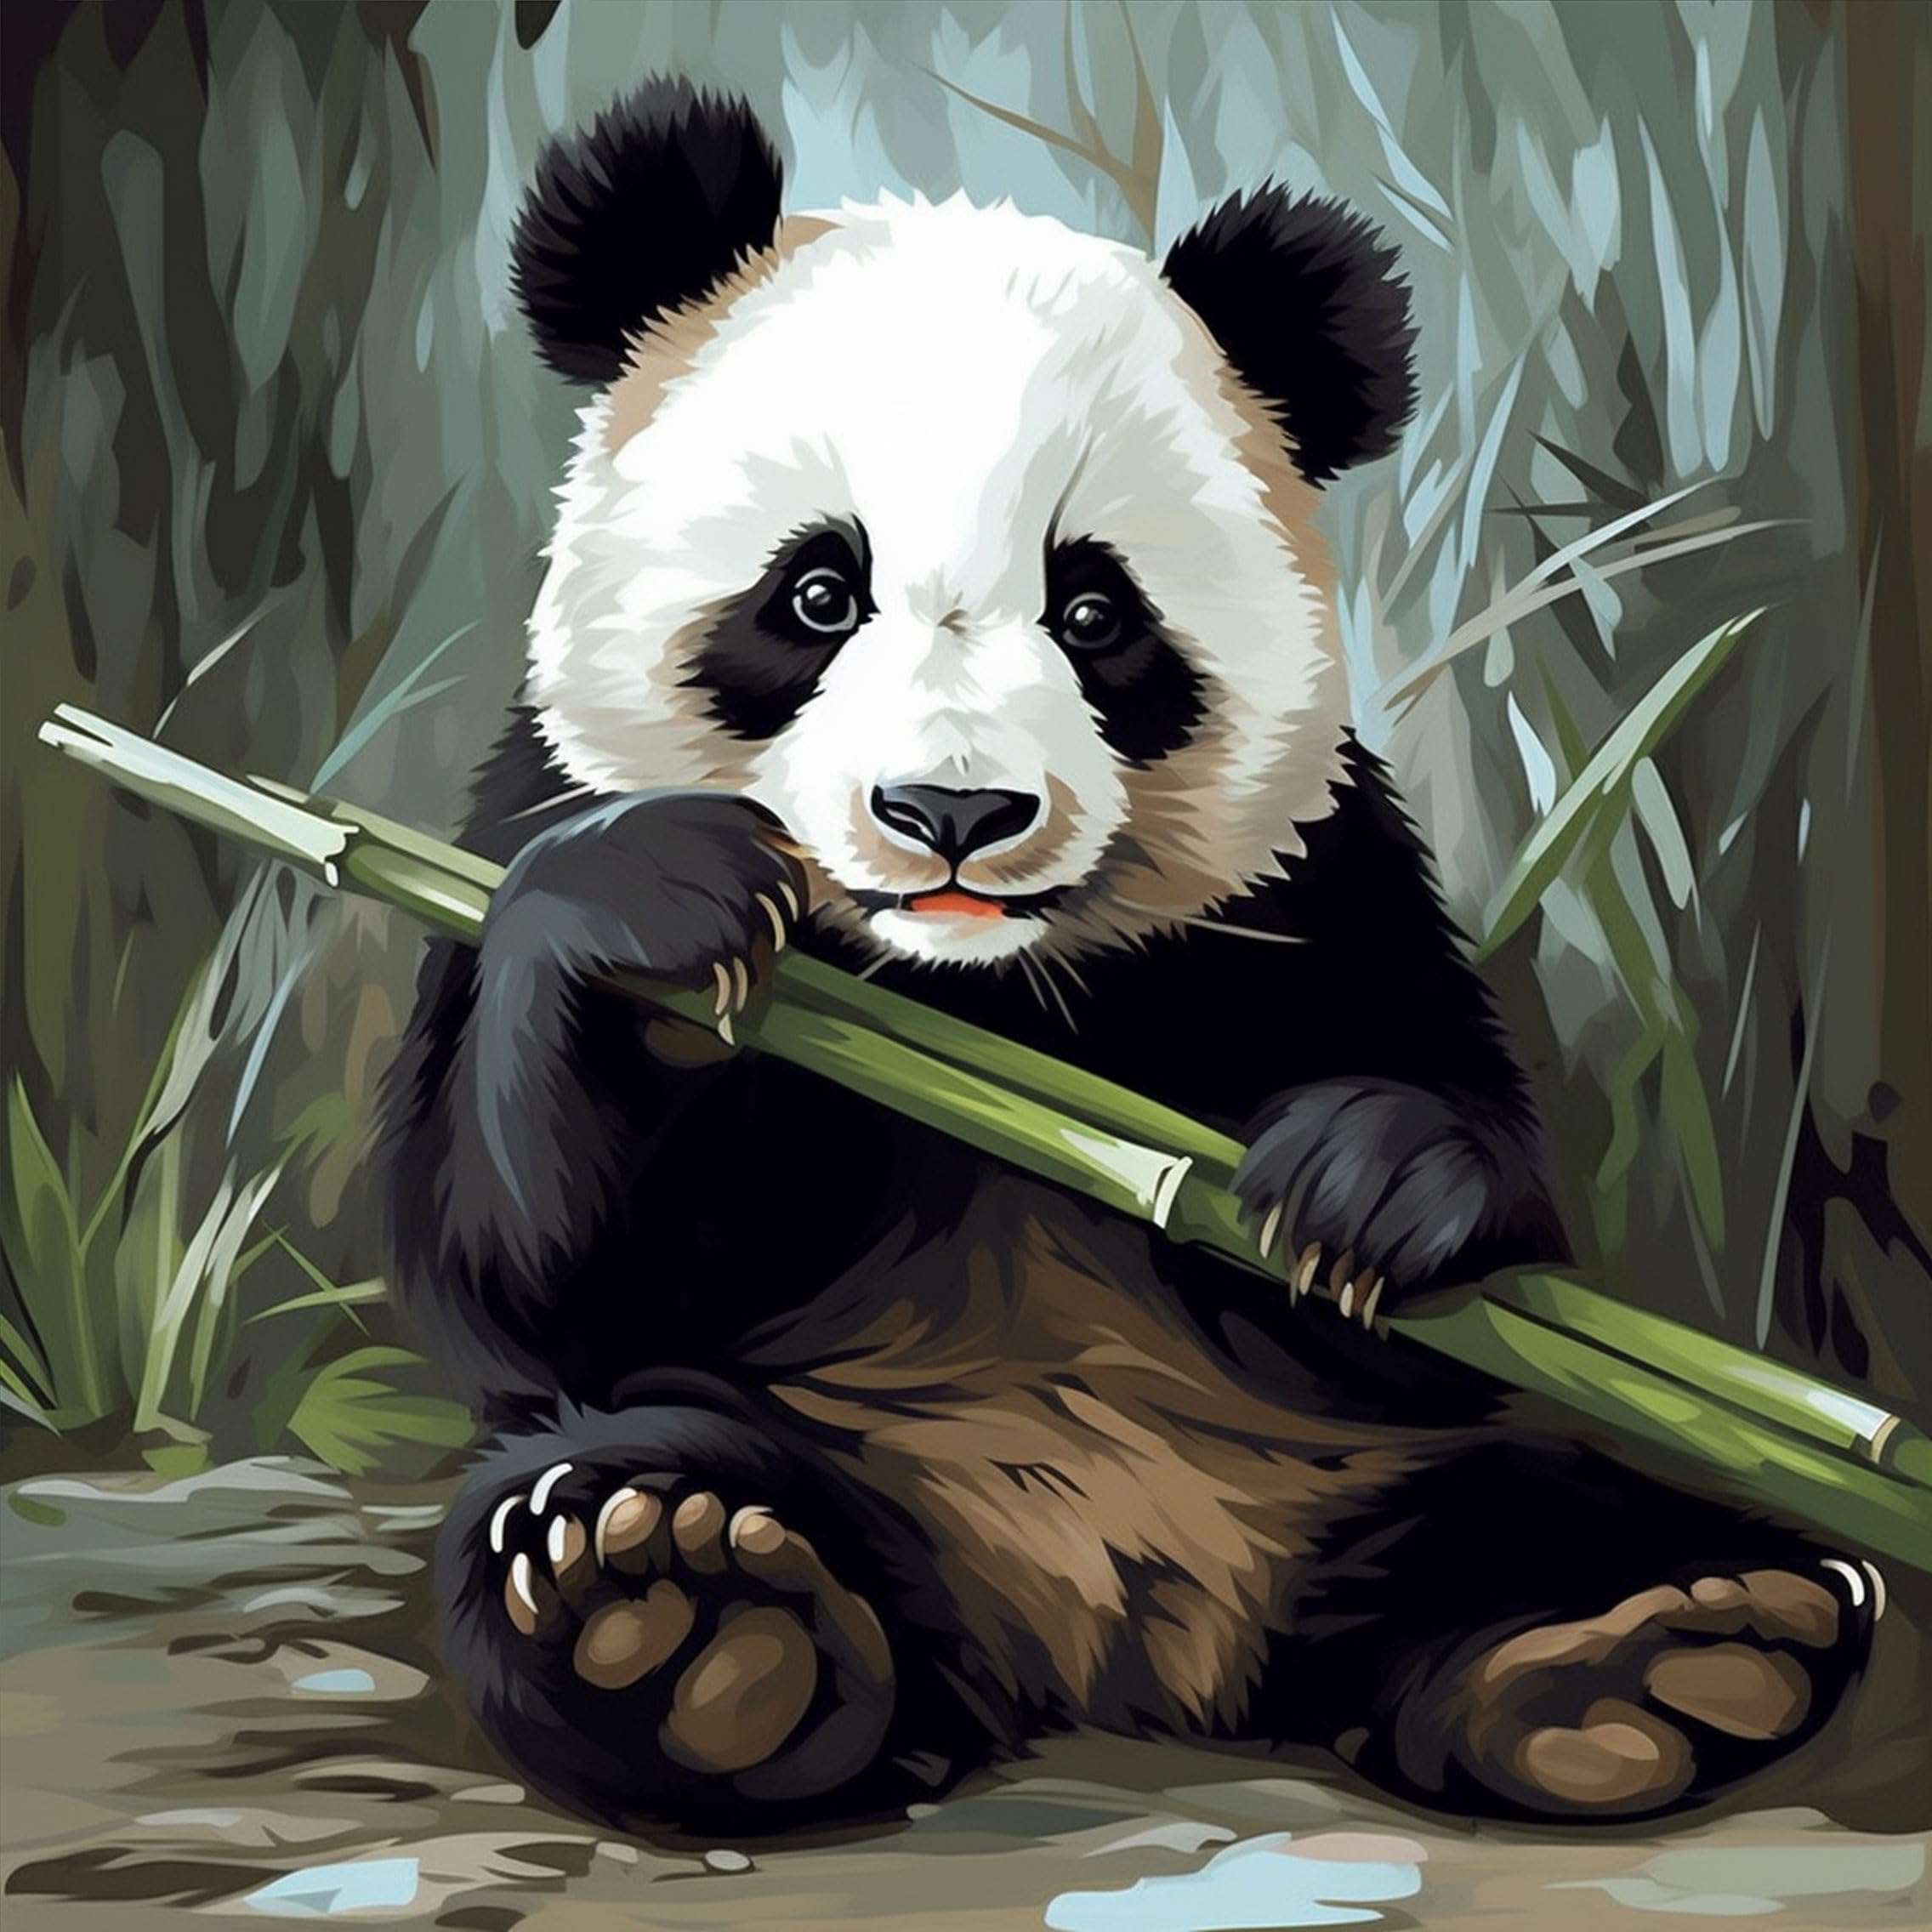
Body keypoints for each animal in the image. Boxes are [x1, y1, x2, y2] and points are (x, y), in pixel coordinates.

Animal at [382, 80, 1877, 1837]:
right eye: (816, 593)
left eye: (1094, 613)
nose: (952, 813)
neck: (973, 988)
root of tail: (1125, 1657)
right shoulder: (522, 812)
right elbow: (526, 1279)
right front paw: (663, 918)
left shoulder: (1321, 875)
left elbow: (1469, 1191)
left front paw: (1366, 1181)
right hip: (846, 1463)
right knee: (615, 1482)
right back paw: (688, 1624)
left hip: (1361, 1482)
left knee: (1527, 1506)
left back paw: (1652, 1650)